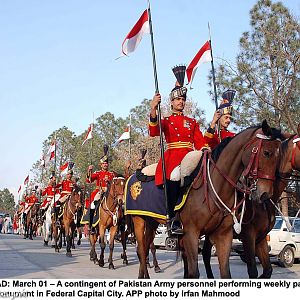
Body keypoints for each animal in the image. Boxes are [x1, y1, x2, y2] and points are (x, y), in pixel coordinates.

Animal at [180, 120, 284, 278]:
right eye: (267, 153)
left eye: (279, 159)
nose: (265, 194)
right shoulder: (192, 233)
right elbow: (252, 270)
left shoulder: (235, 236)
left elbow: (261, 270)